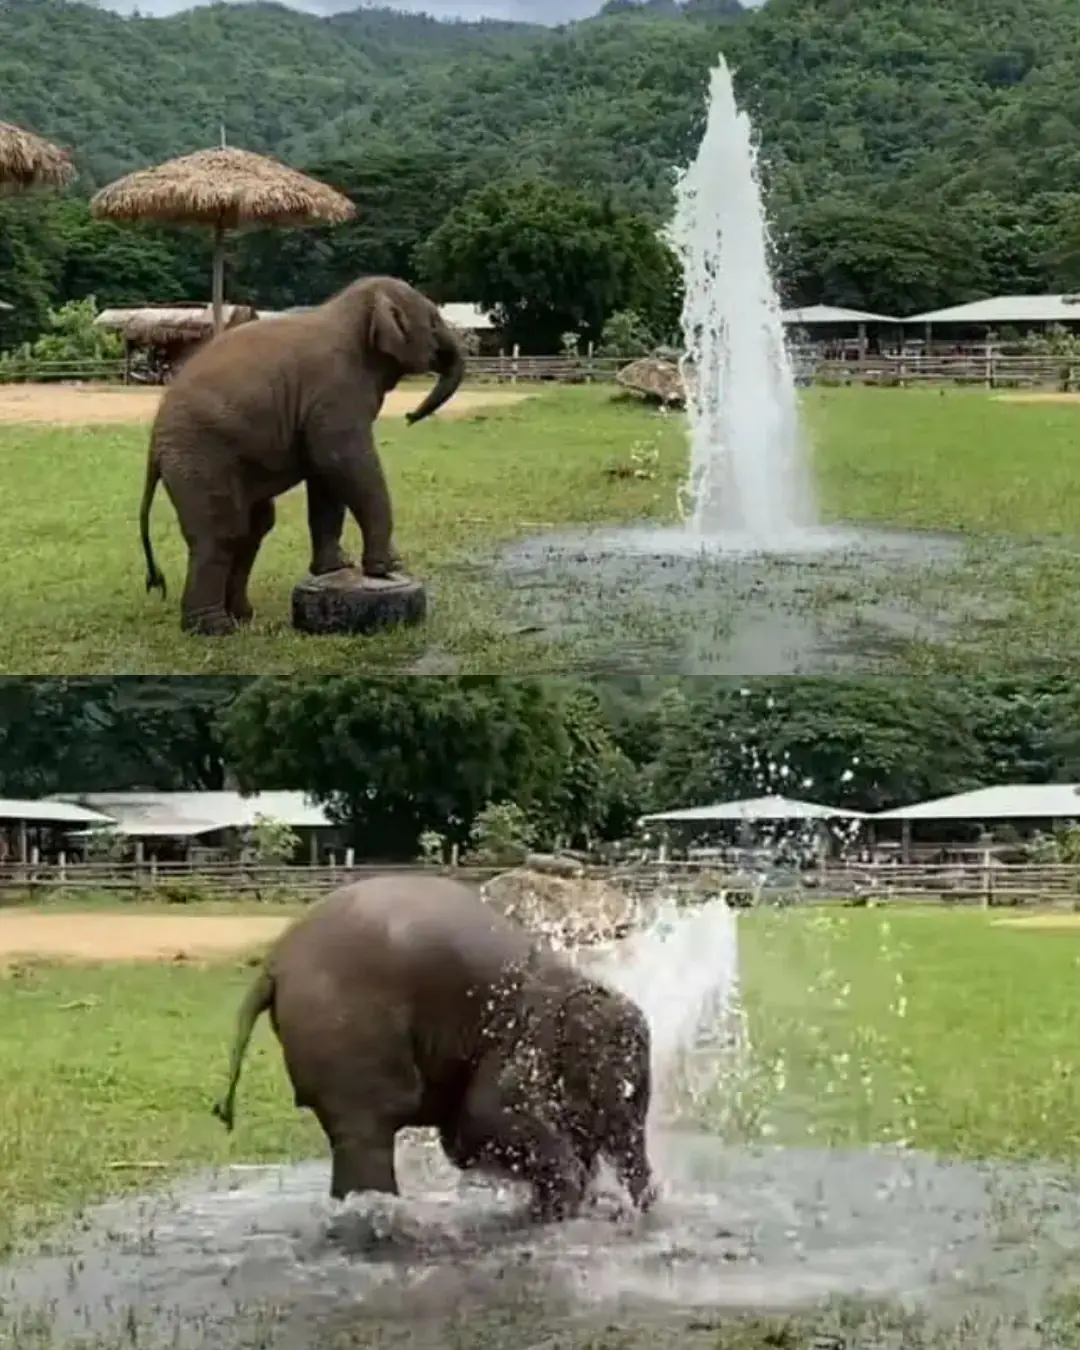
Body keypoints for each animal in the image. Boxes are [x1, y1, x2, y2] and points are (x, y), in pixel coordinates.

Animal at [138, 275, 467, 635]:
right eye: (433, 321)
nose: (409, 416)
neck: (347, 309)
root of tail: (154, 441)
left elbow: (327, 479)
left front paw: (337, 568)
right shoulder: (335, 392)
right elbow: (343, 463)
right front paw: (385, 569)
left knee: (253, 527)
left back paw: (242, 617)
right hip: (200, 457)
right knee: (221, 531)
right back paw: (216, 629)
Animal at [211, 874, 657, 1222]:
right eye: (621, 1091)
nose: (646, 1207)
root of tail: (273, 965)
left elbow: (466, 1137)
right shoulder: (526, 1034)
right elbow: (483, 1119)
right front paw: (561, 1205)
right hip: (345, 1028)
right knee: (367, 1132)